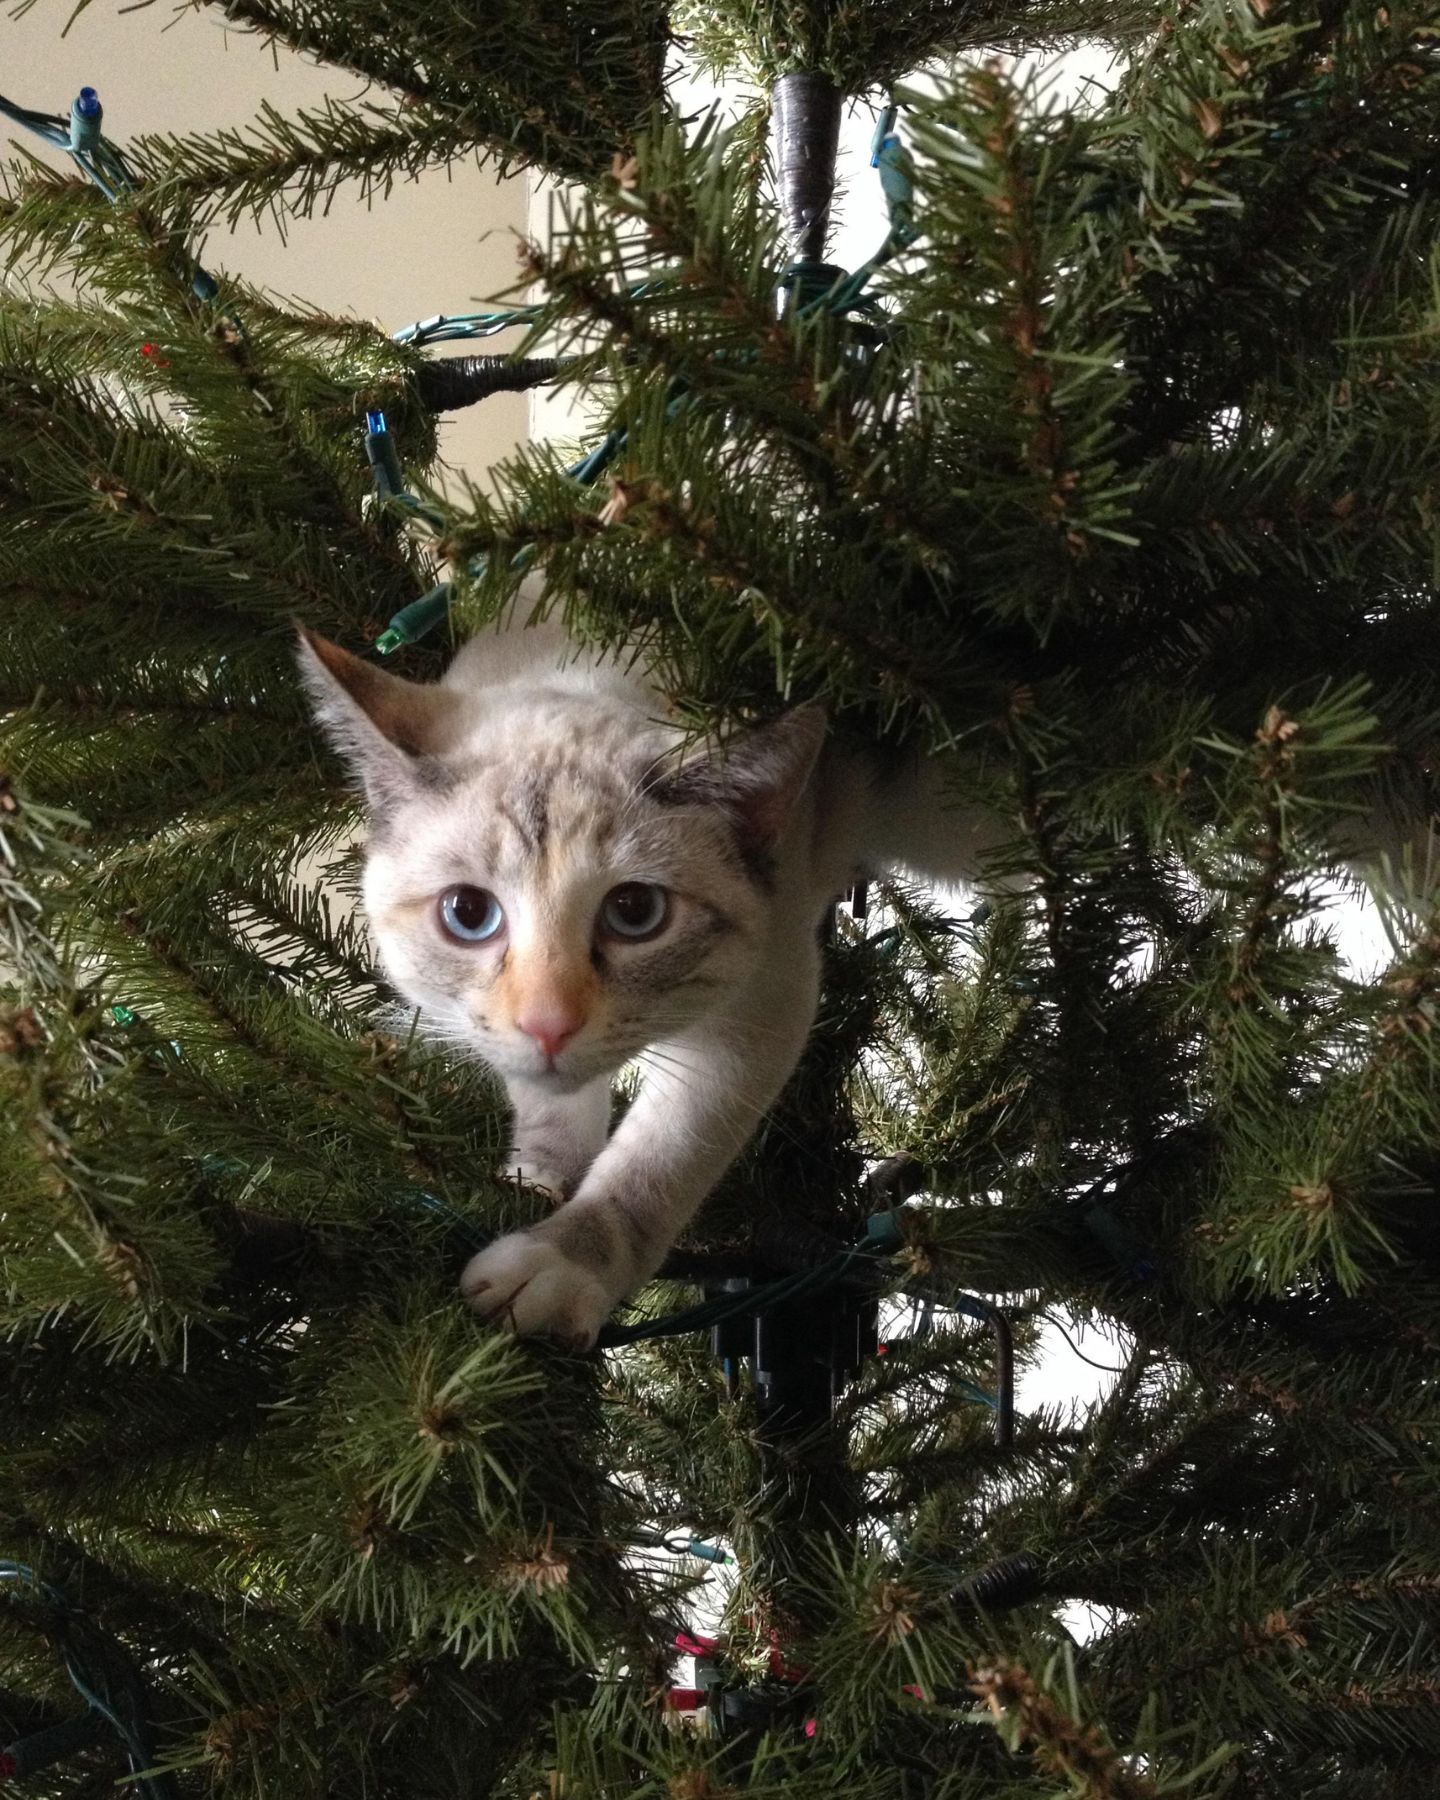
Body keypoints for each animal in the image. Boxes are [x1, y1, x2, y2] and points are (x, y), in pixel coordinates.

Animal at [298, 597, 1008, 1346]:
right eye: (468, 913)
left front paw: (559, 1265)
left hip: (949, 821)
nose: (548, 1024)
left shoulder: (761, 1002)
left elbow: (652, 1166)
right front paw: (534, 1179)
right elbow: (549, 1106)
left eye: (635, 912)